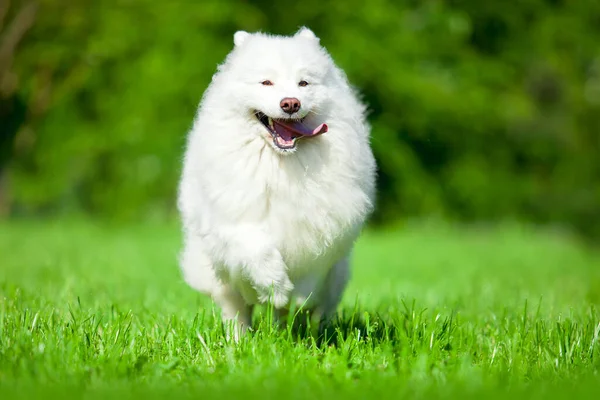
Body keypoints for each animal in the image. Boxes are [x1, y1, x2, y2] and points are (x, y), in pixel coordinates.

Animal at [177, 26, 376, 336]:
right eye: (266, 82)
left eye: (303, 83)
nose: (291, 103)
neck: (280, 164)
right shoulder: (232, 223)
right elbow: (258, 250)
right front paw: (276, 288)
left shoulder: (321, 229)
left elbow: (307, 277)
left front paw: (295, 295)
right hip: (219, 278)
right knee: (237, 311)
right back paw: (240, 339)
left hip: (336, 277)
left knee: (314, 311)